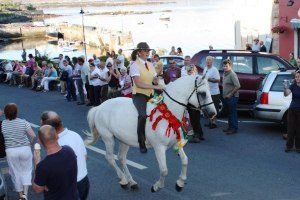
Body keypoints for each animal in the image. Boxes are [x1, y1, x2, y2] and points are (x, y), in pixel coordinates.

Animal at [85, 74, 217, 192]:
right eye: (203, 93)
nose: (213, 113)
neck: (169, 113)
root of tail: (99, 107)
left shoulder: (176, 143)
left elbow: (185, 161)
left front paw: (180, 183)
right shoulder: (159, 147)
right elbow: (164, 170)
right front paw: (157, 186)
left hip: (124, 140)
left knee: (121, 158)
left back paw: (132, 182)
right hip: (108, 138)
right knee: (110, 158)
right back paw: (123, 180)